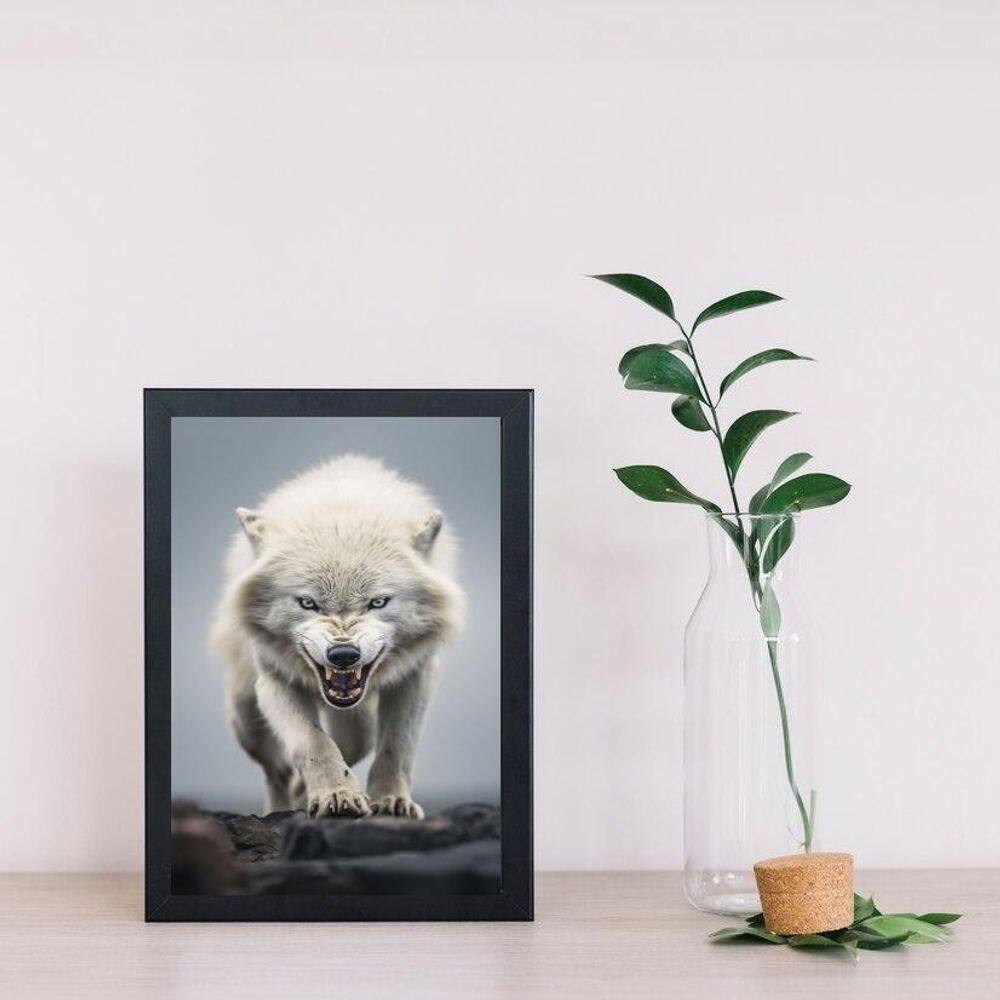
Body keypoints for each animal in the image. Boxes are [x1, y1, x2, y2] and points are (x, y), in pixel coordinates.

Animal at [211, 454, 464, 819]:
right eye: (308, 603)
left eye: (377, 602)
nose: (344, 654)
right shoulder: (275, 681)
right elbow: (313, 742)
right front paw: (337, 795)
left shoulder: (416, 676)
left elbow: (396, 746)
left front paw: (391, 801)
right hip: (246, 719)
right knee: (276, 771)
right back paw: (282, 803)